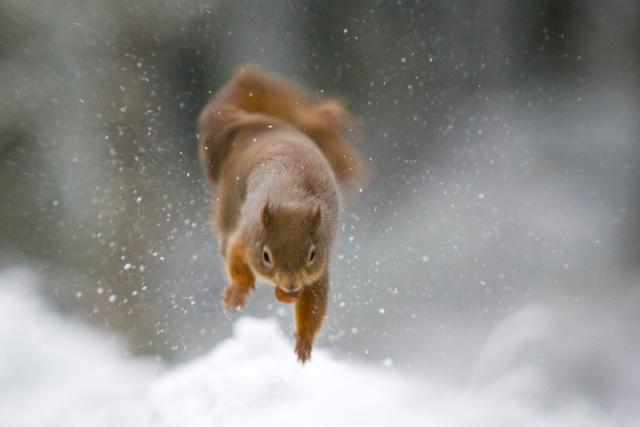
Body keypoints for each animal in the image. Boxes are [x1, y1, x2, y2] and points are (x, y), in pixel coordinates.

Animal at [197, 66, 365, 363]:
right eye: (266, 255)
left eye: (312, 254)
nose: (291, 285)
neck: (291, 199)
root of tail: (255, 122)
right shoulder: (245, 236)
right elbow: (236, 261)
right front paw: (238, 292)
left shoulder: (320, 269)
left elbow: (315, 305)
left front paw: (304, 342)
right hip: (229, 201)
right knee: (224, 239)